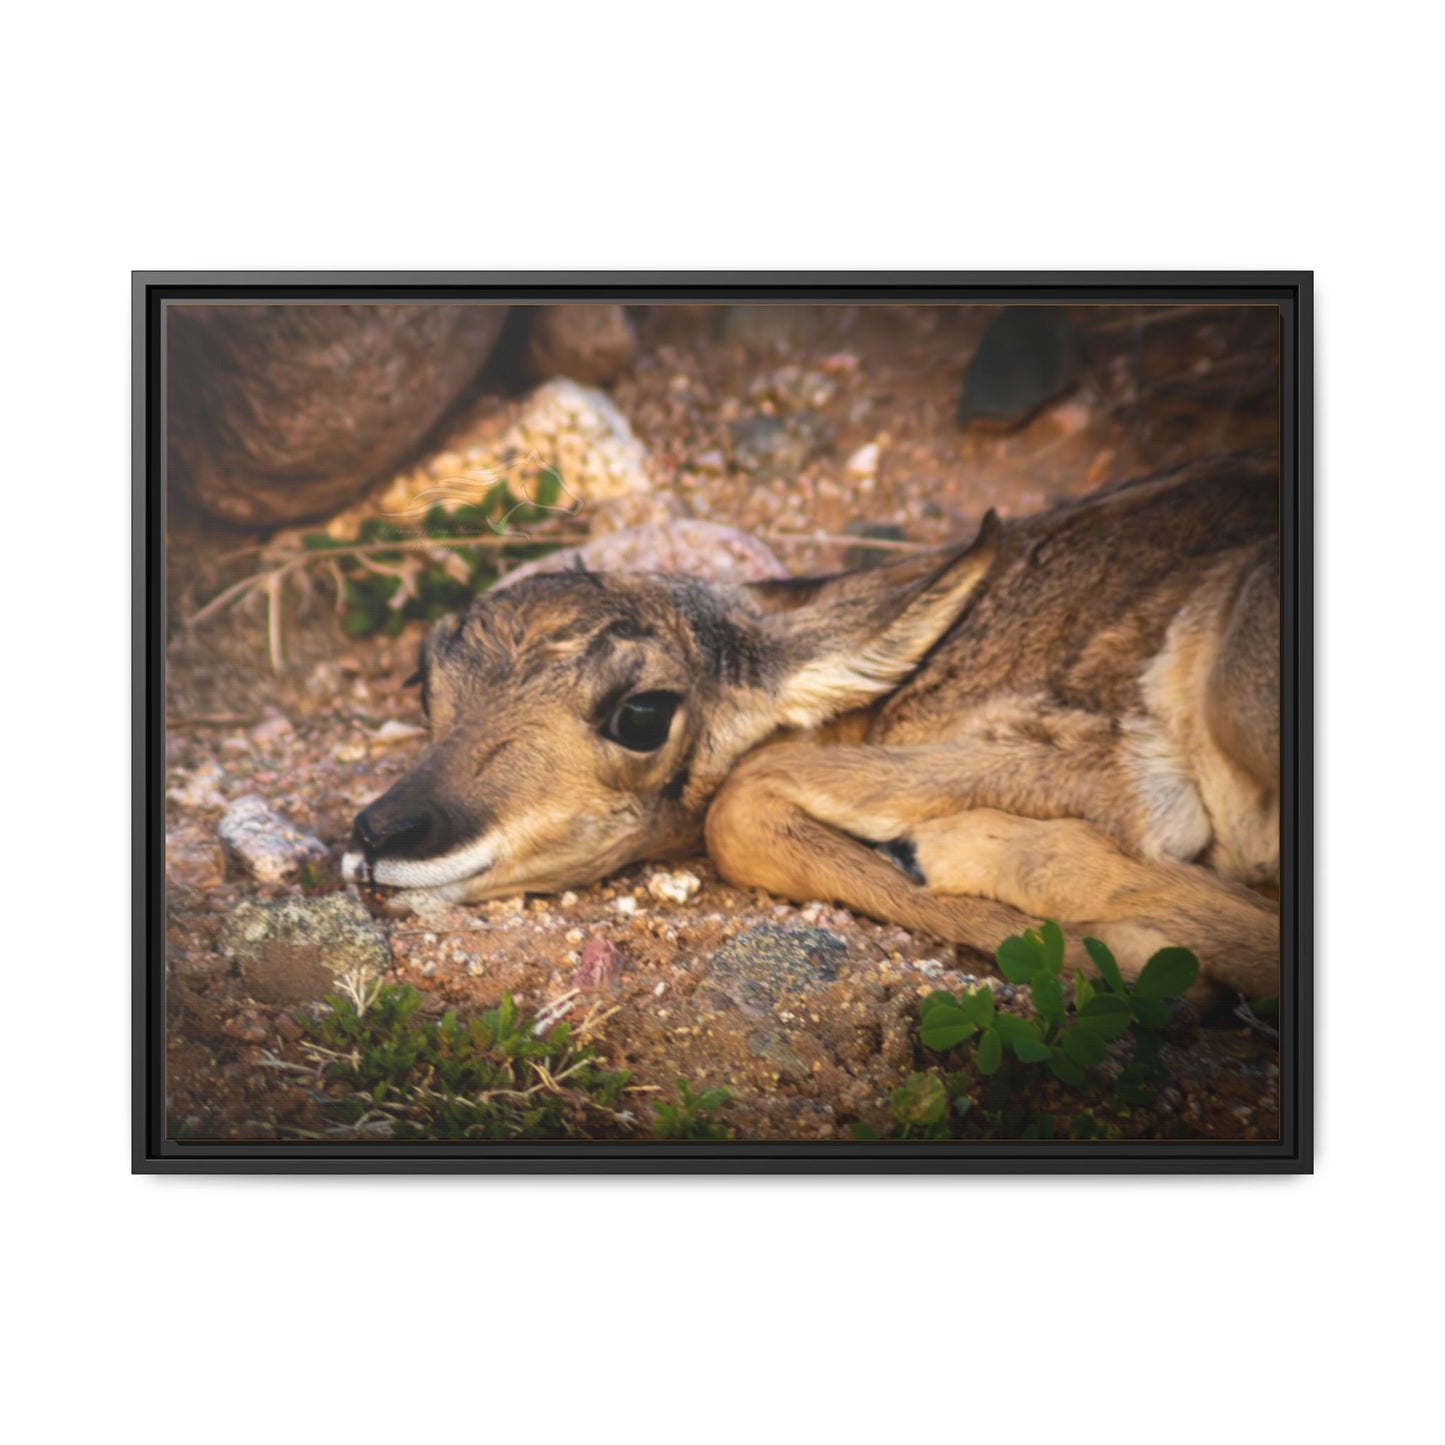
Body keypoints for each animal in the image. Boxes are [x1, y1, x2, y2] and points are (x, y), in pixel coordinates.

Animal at [342, 452, 1281, 1000]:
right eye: (427, 678)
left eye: (641, 712)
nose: (380, 833)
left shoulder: (1124, 776)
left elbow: (741, 801)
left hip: (1236, 691)